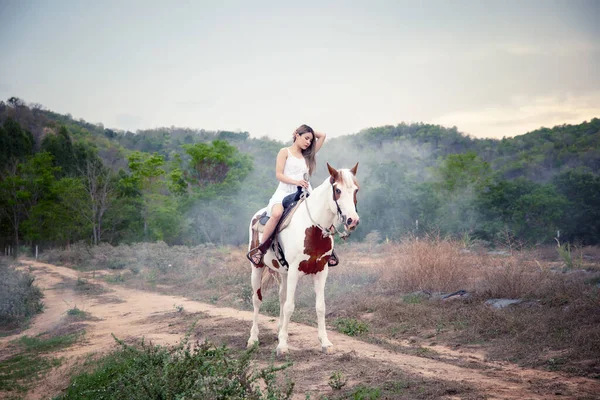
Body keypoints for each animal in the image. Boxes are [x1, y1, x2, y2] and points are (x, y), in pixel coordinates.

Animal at [246, 162, 358, 356]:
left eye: (356, 190)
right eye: (337, 190)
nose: (353, 220)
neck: (313, 227)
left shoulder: (321, 271)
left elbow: (320, 306)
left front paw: (325, 342)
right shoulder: (294, 271)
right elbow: (290, 306)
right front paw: (282, 346)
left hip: (283, 273)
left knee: (281, 298)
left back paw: (279, 331)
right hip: (257, 268)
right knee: (257, 299)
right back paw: (253, 339)